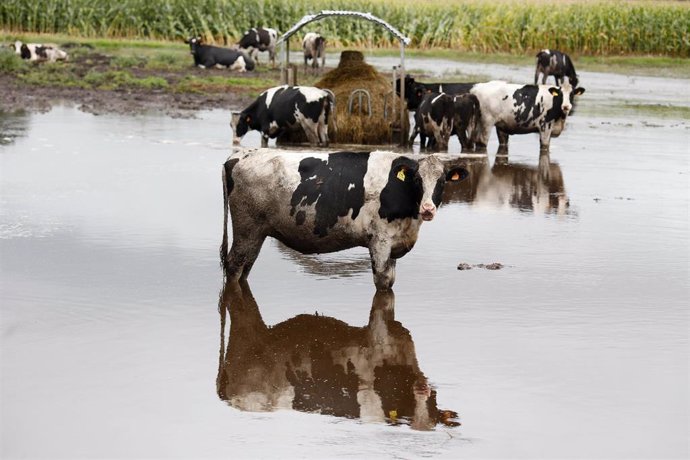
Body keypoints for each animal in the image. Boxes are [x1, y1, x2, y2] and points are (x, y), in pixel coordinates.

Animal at [220, 149, 468, 290]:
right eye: (417, 180)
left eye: (442, 181)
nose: (427, 208)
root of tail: (237, 157)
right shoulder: (380, 241)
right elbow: (383, 282)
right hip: (246, 228)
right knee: (234, 266)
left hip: (257, 233)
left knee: (245, 267)